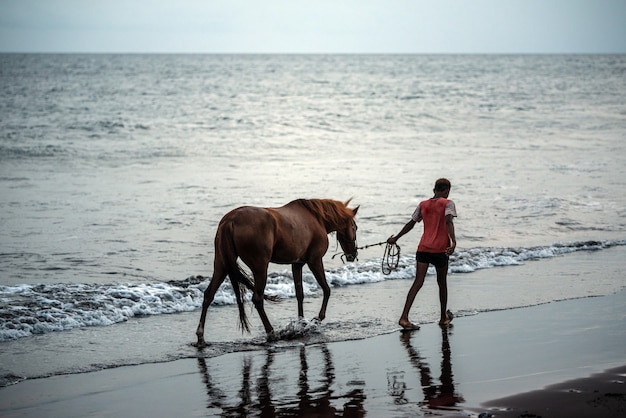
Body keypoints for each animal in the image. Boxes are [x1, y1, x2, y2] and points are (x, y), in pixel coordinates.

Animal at [195, 198, 360, 346]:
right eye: (355, 227)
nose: (353, 254)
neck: (316, 218)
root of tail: (230, 220)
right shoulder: (315, 260)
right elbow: (326, 289)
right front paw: (317, 319)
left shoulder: (297, 264)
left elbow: (300, 294)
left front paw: (301, 323)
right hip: (260, 268)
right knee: (257, 299)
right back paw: (271, 332)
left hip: (222, 266)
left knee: (208, 295)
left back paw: (200, 336)